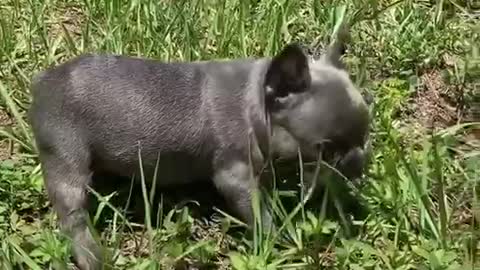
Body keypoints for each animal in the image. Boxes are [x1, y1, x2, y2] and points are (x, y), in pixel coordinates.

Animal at [28, 26, 370, 268]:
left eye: (366, 136)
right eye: (325, 149)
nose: (358, 162)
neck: (256, 102)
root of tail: (44, 80)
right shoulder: (235, 176)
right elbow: (258, 211)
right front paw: (277, 237)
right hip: (65, 155)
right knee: (72, 212)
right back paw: (91, 256)